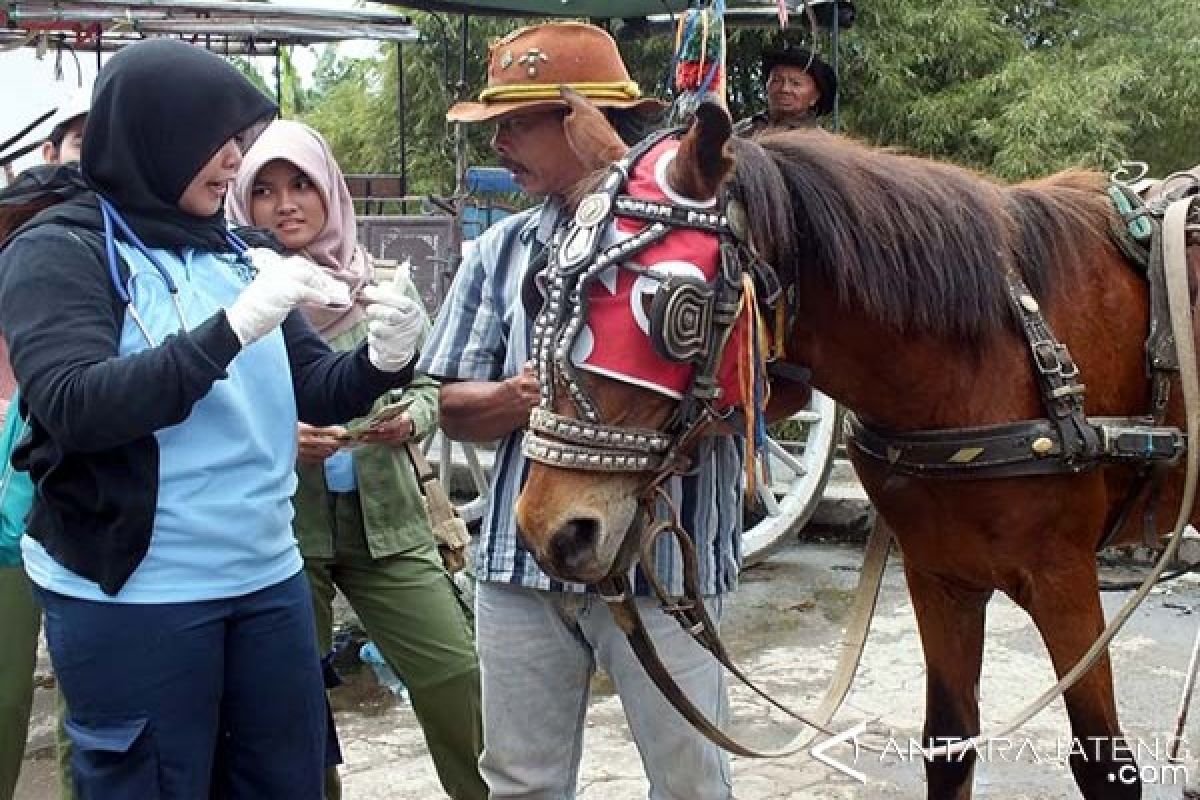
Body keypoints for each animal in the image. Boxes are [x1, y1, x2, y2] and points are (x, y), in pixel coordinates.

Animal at [513, 103, 1200, 796]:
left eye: (671, 310)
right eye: (541, 288)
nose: (552, 529)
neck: (996, 350)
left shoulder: (1064, 577)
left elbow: (1103, 762)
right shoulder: (940, 574)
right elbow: (949, 742)